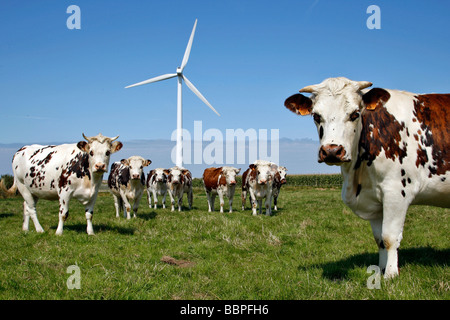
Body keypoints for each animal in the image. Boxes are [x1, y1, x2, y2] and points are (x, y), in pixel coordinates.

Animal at [284, 77, 450, 278]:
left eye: (355, 114)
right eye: (316, 116)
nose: (332, 151)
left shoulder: (397, 192)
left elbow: (389, 237)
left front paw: (391, 275)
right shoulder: (374, 198)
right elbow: (379, 239)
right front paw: (380, 270)